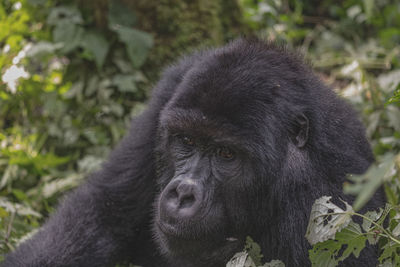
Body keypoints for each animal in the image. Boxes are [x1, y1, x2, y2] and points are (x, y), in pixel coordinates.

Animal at [3, 38, 384, 266]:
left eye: (227, 155)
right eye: (185, 141)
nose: (182, 194)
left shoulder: (326, 196)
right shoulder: (170, 91)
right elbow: (103, 213)